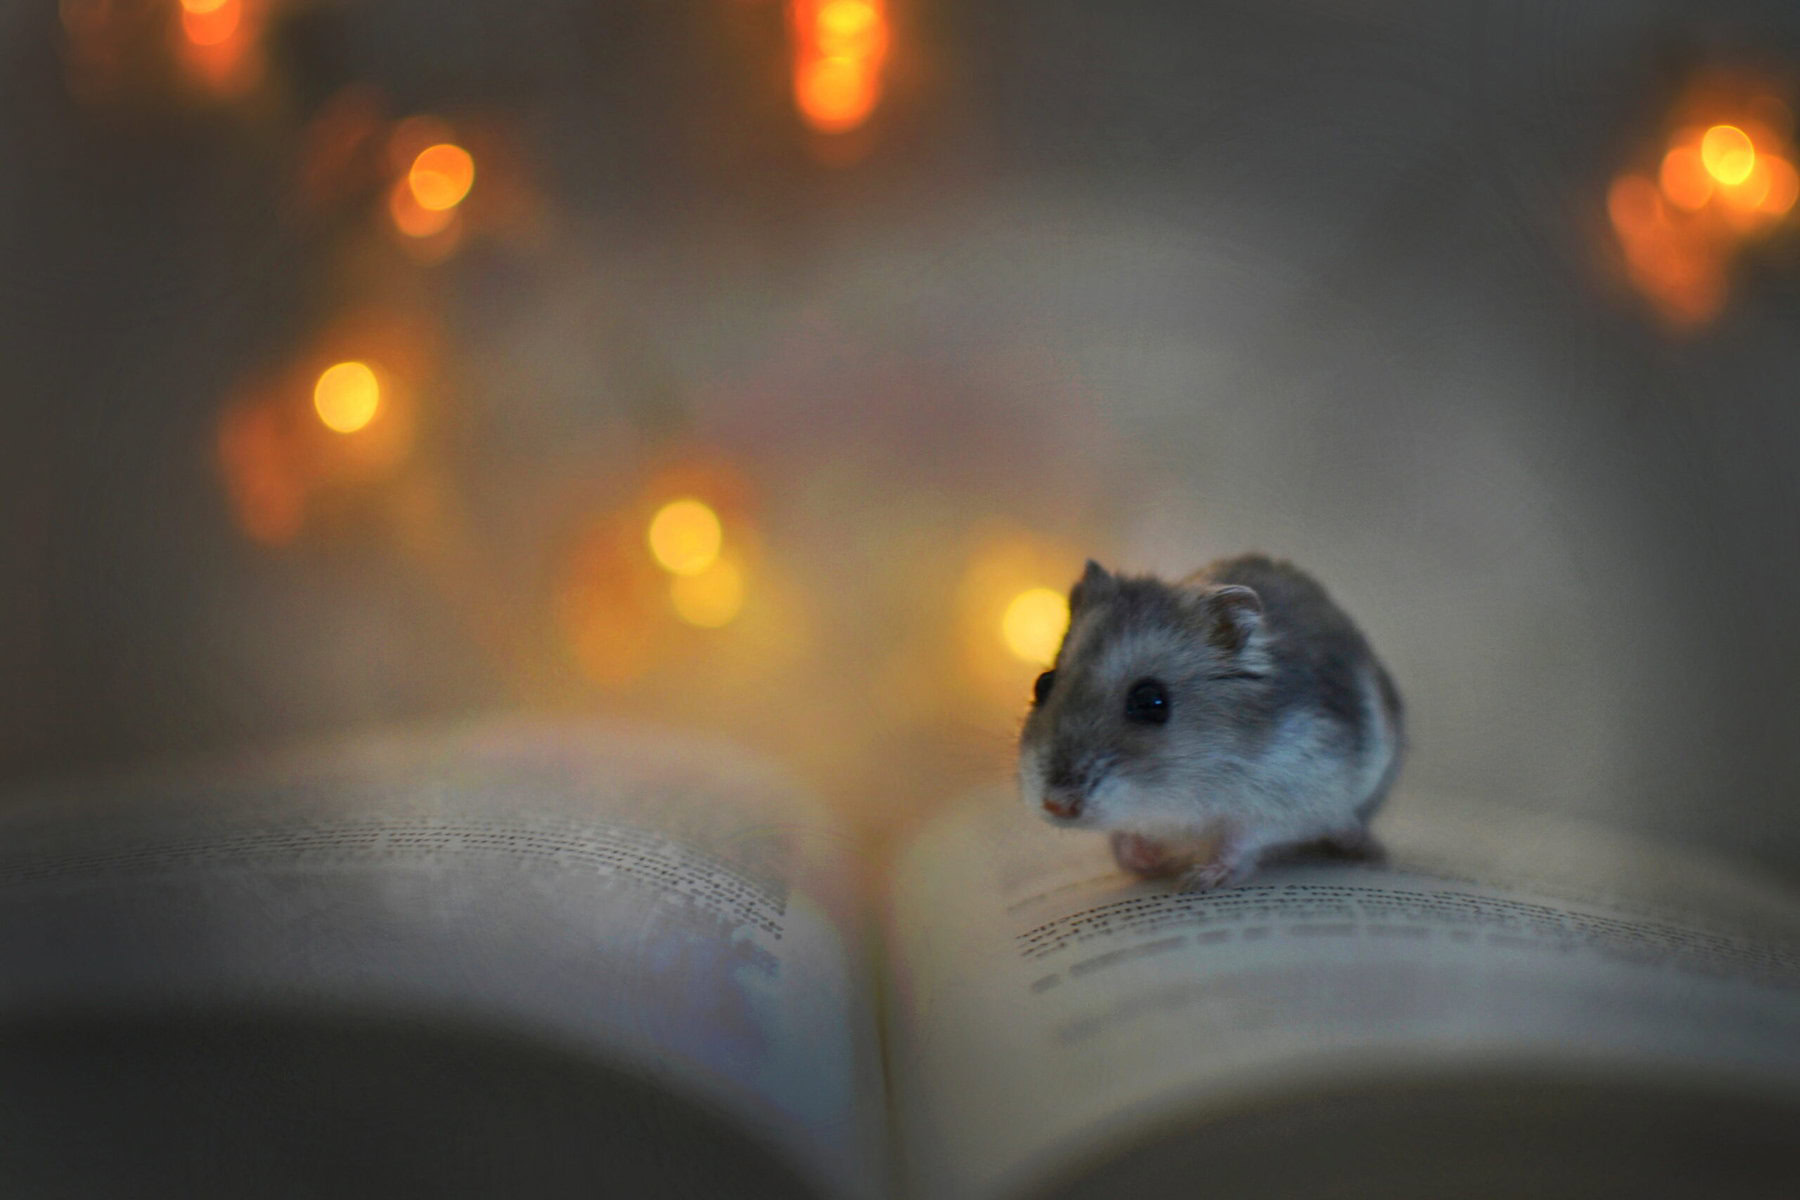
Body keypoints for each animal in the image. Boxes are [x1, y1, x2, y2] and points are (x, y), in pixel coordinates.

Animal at [1017, 555, 1404, 891]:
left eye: (1150, 701)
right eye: (1042, 683)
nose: (1056, 805)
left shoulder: (1294, 793)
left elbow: (1243, 838)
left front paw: (1197, 879)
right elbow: (1126, 835)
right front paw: (1147, 862)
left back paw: (1370, 853)